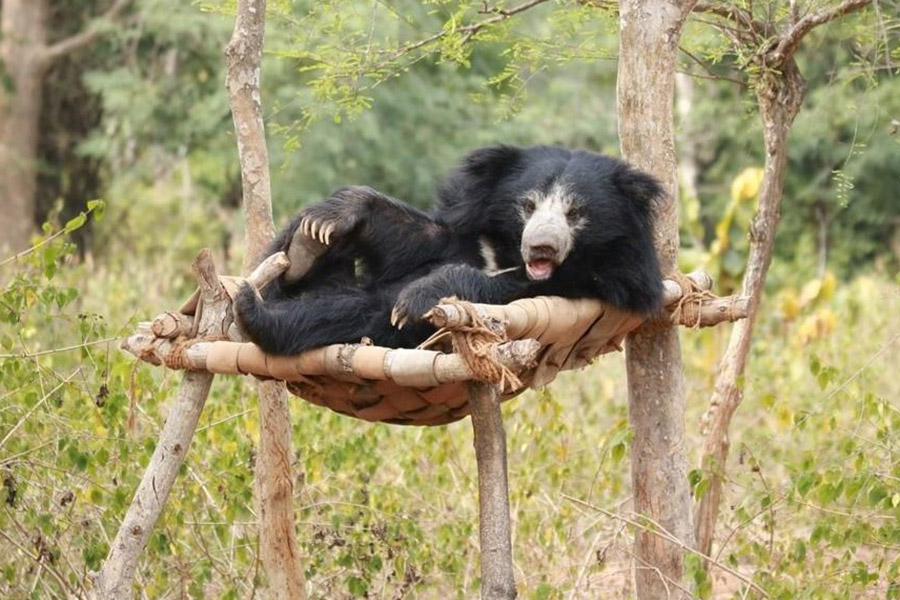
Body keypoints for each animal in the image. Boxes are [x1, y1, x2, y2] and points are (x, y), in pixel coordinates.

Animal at [234, 145, 664, 356]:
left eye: (575, 213)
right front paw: (332, 217)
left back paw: (255, 312)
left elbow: (494, 287)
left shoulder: (609, 279)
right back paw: (301, 250)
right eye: (527, 205)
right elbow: (427, 238)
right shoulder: (468, 229)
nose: (540, 245)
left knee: (350, 313)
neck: (507, 252)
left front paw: (414, 299)